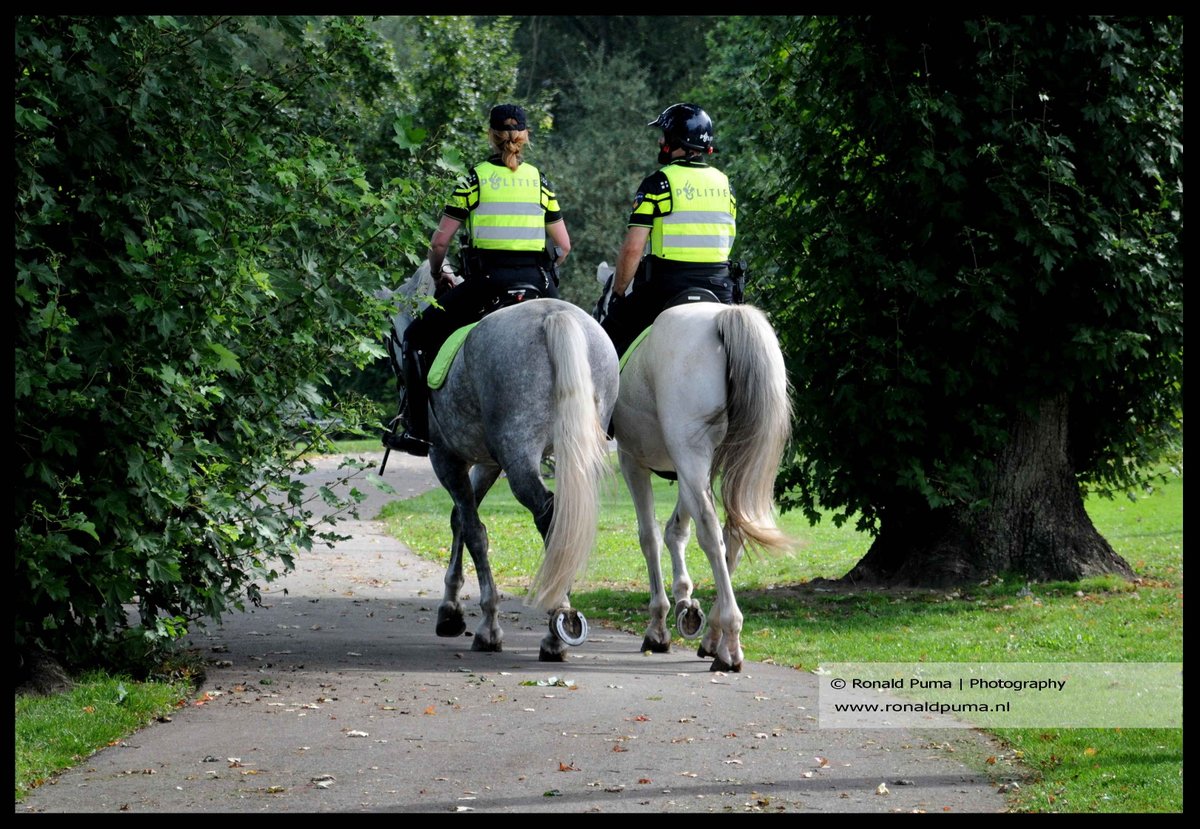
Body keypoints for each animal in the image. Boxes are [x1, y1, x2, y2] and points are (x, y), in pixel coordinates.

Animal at [382, 262, 619, 661]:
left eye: (392, 339)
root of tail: (553, 316)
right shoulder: (489, 463)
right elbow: (459, 520)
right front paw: (450, 611)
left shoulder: (445, 458)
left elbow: (473, 529)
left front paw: (485, 625)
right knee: (565, 518)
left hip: (518, 455)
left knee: (547, 514)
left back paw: (557, 628)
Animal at [595, 264, 794, 672]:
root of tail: (721, 318)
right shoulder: (689, 466)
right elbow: (675, 530)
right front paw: (686, 604)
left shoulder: (633, 461)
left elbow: (650, 536)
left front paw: (659, 624)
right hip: (728, 460)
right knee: (734, 532)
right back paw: (715, 636)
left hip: (689, 455)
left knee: (712, 533)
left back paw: (729, 641)